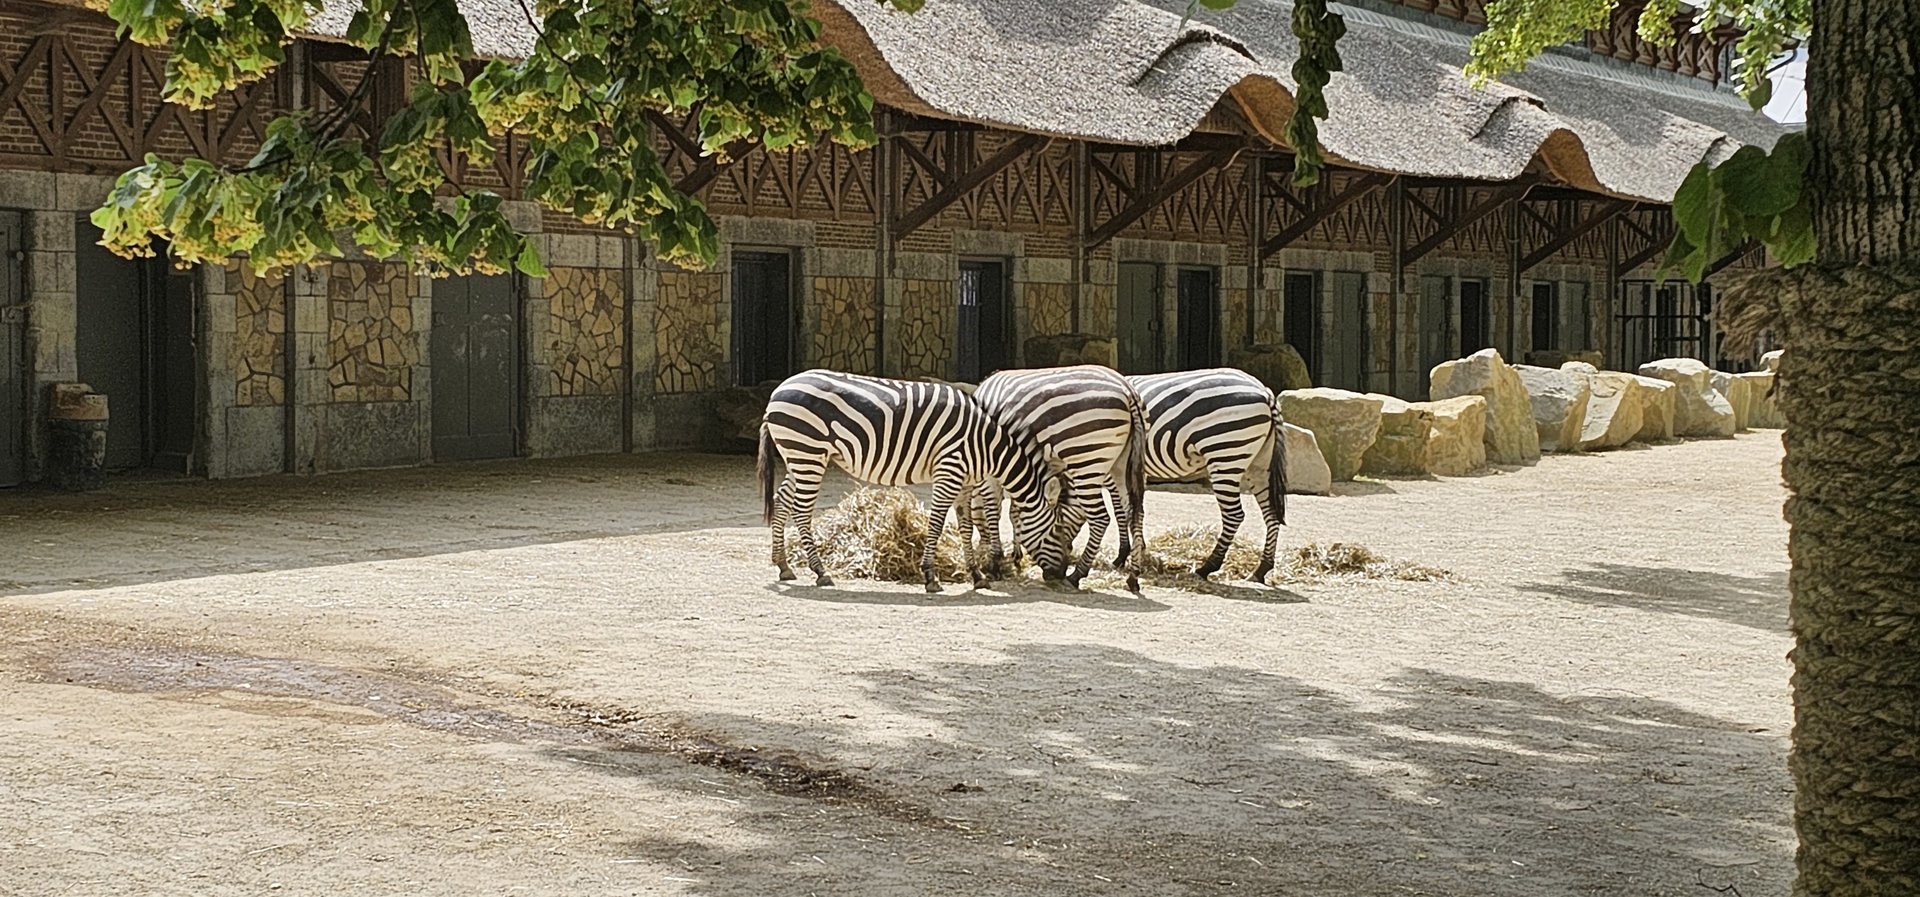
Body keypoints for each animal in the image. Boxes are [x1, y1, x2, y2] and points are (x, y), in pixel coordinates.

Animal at [757, 369, 1067, 592]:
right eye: (1056, 530)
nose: (1062, 573)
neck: (986, 444)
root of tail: (777, 392)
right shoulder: (949, 471)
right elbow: (937, 523)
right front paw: (930, 576)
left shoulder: (965, 482)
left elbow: (965, 527)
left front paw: (977, 575)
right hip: (807, 453)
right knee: (801, 510)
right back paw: (820, 571)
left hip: (799, 457)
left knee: (781, 500)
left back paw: (783, 566)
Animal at [970, 364, 1147, 591]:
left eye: (1059, 527)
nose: (1057, 572)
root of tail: (1127, 389)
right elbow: (1015, 512)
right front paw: (1015, 557)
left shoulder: (994, 465)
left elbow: (994, 510)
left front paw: (995, 563)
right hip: (1122, 464)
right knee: (1134, 512)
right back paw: (1133, 576)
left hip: (1087, 461)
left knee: (1101, 518)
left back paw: (1076, 575)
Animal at [1109, 368, 1289, 582]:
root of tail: (1265, 391)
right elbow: (1136, 510)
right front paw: (1140, 551)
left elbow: (1121, 512)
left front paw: (1122, 556)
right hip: (1260, 465)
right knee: (1271, 514)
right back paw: (1261, 569)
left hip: (1225, 454)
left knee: (1234, 515)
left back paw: (1207, 567)